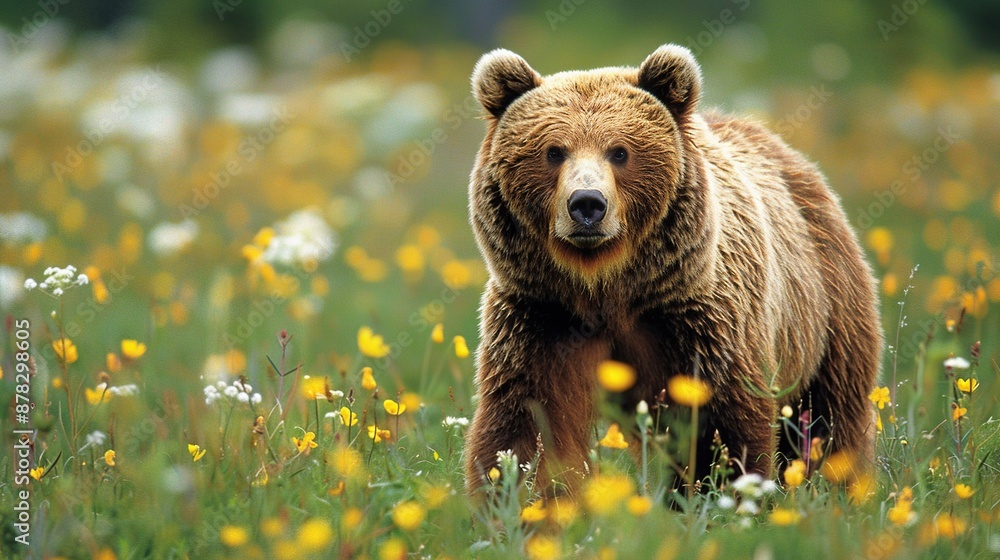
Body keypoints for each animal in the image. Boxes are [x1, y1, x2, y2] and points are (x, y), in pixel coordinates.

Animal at [464, 44, 880, 494]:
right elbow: (528, 424)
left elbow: (721, 419)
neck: (607, 285)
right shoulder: (541, 316)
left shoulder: (697, 316)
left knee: (830, 413)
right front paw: (516, 495)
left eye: (620, 152)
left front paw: (716, 489)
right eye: (554, 151)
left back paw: (840, 483)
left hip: (825, 308)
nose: (587, 204)